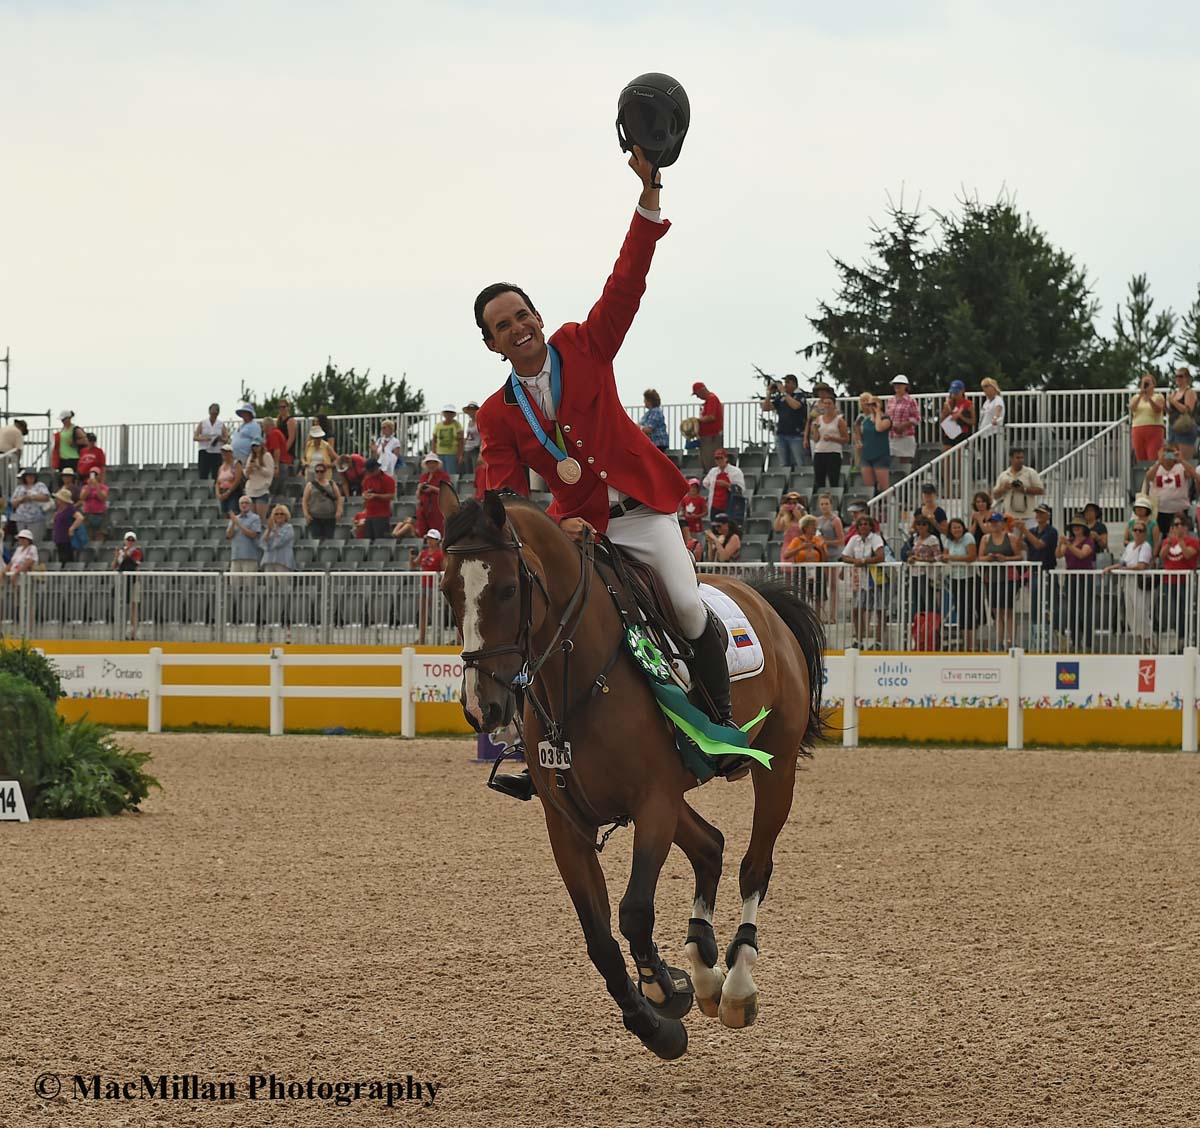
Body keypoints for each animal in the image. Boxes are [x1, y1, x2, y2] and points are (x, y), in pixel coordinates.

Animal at [441, 489, 825, 1060]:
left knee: (754, 866)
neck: (579, 675)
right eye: (448, 590)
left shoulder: (653, 803)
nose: (481, 707)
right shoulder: (567, 825)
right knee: (710, 845)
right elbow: (600, 937)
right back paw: (704, 969)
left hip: (773, 770)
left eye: (508, 588)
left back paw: (735, 986)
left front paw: (663, 992)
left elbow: (635, 912)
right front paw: (656, 1019)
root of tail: (761, 599)